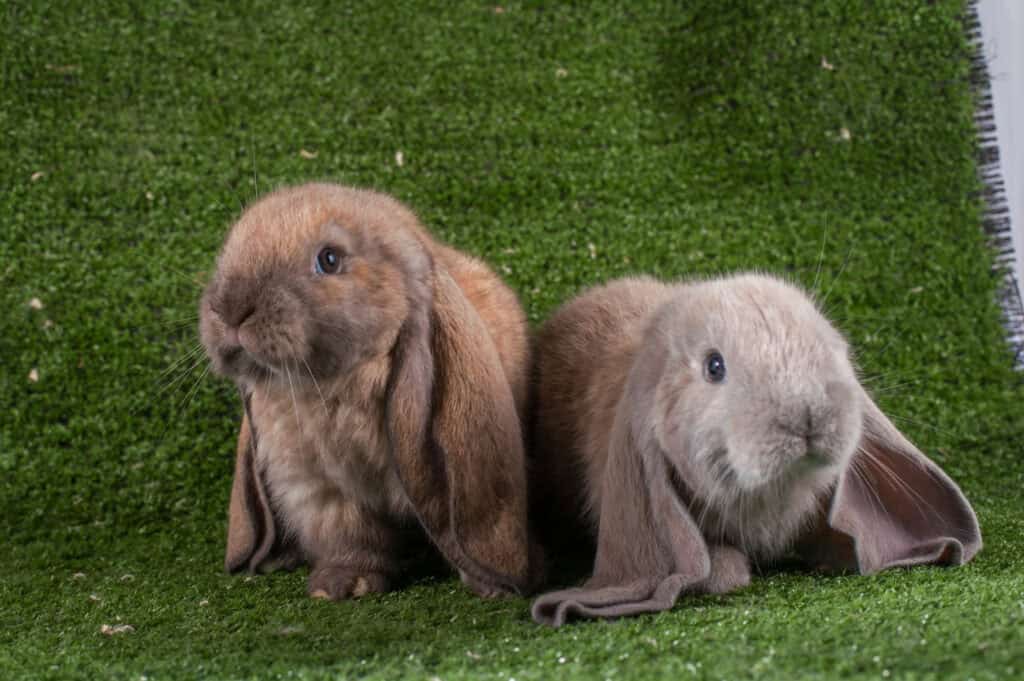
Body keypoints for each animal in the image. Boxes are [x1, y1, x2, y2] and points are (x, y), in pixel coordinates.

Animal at [195, 182, 540, 602]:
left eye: (329, 259)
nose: (231, 309)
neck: (326, 388)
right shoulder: (324, 488)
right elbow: (352, 535)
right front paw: (343, 586)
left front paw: (489, 588)